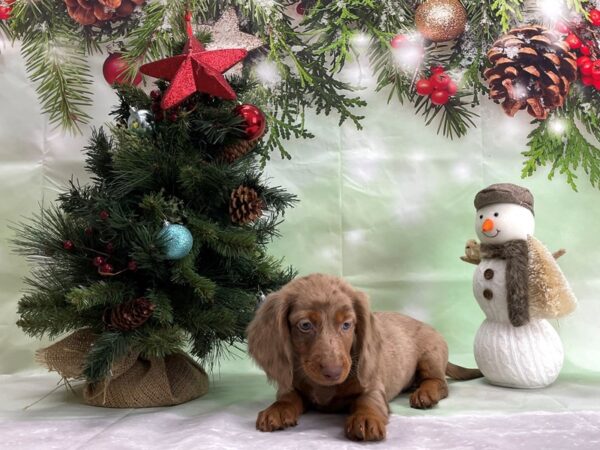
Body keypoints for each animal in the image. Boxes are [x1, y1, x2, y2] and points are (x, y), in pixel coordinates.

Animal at [246, 272, 480, 442]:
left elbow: (367, 401)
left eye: (347, 324)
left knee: (439, 382)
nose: (333, 372)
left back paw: (425, 393)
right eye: (305, 325)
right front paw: (277, 410)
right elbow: (288, 397)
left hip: (430, 355)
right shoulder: (291, 382)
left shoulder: (373, 386)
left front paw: (366, 419)